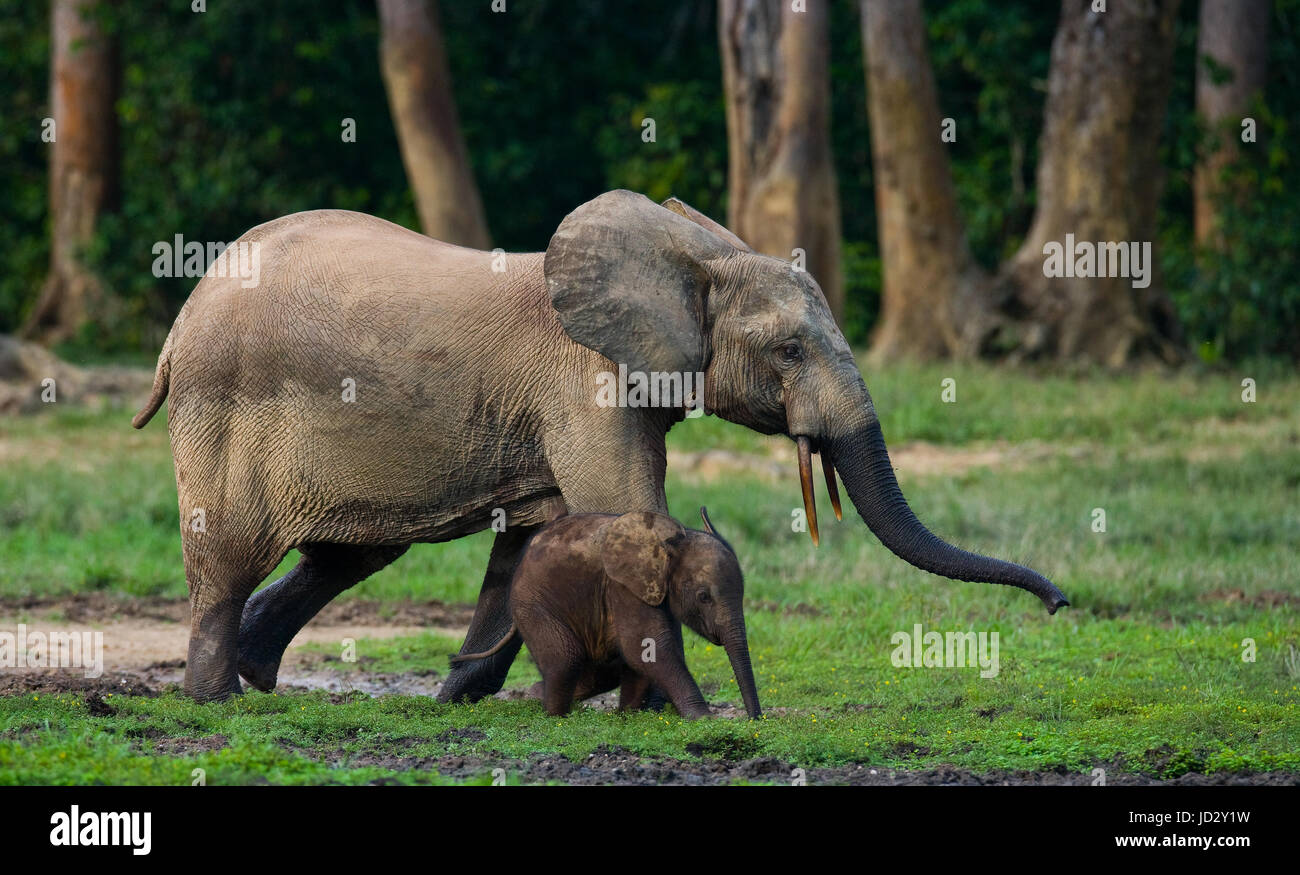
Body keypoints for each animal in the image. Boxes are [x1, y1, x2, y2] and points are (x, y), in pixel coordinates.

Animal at [450, 507, 761, 719]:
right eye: (703, 597)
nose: (755, 719)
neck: (674, 539)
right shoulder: (622, 585)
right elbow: (647, 647)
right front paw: (703, 718)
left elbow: (645, 651)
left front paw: (628, 717)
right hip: (532, 603)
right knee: (566, 658)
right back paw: (554, 715)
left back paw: (539, 695)